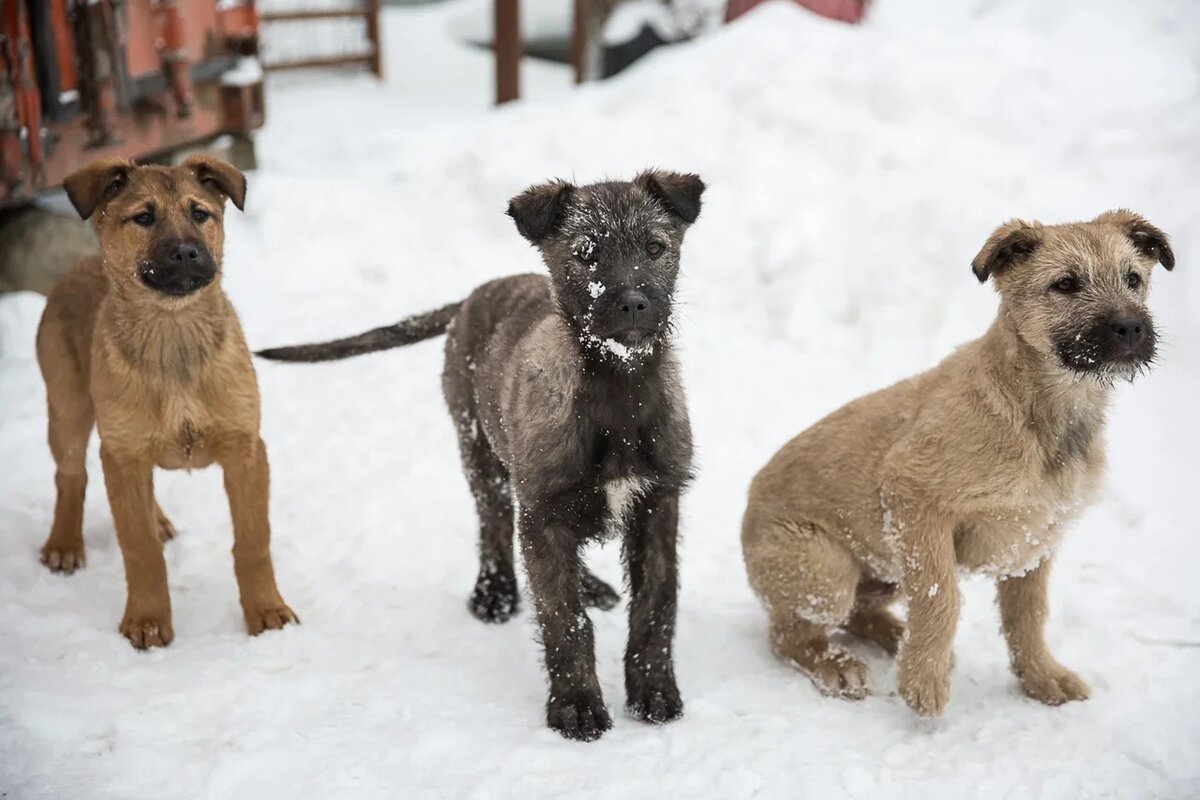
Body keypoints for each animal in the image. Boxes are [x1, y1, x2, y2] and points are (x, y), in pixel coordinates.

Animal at [35, 155, 297, 652]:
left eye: (200, 213)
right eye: (143, 217)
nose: (187, 253)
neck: (172, 336)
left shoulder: (246, 450)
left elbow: (253, 542)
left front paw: (266, 612)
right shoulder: (121, 453)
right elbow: (140, 549)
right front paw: (148, 622)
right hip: (69, 410)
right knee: (71, 476)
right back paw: (64, 544)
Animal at [254, 170, 700, 743]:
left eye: (655, 248)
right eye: (587, 253)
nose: (633, 304)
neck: (617, 392)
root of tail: (473, 294)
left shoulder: (658, 506)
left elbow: (655, 607)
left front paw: (653, 689)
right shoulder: (544, 511)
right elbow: (564, 620)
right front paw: (576, 705)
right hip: (480, 453)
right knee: (494, 524)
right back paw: (495, 592)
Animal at [739, 209, 1171, 714]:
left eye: (1133, 278)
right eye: (1065, 284)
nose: (1130, 329)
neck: (1038, 409)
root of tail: (746, 510)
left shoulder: (1035, 540)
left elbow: (1028, 614)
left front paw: (1041, 677)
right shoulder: (913, 497)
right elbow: (940, 597)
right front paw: (923, 682)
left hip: (883, 567)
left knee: (859, 612)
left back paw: (895, 637)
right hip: (827, 571)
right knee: (788, 635)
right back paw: (837, 664)